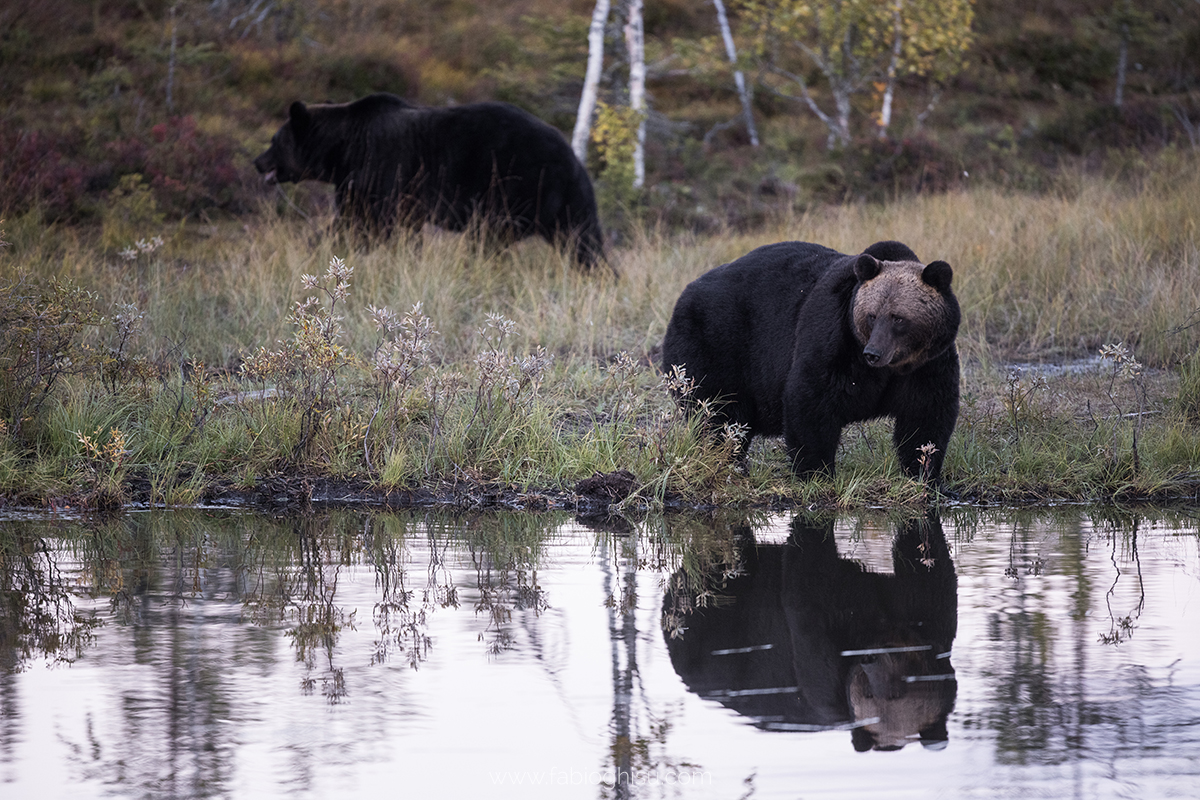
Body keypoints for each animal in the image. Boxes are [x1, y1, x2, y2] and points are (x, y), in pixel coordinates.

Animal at [254, 94, 609, 272]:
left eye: (274, 140)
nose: (257, 162)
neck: (343, 149)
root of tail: (571, 156)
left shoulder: (379, 172)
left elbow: (362, 224)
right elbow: (399, 231)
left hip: (514, 187)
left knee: (487, 238)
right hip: (569, 203)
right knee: (584, 241)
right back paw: (600, 276)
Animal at [662, 241, 960, 482]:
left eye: (898, 318)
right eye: (873, 315)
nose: (873, 353)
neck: (891, 369)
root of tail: (683, 295)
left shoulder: (928, 365)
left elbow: (925, 416)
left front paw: (924, 472)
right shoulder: (834, 340)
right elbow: (811, 401)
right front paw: (816, 472)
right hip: (715, 343)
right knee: (718, 413)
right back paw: (728, 462)